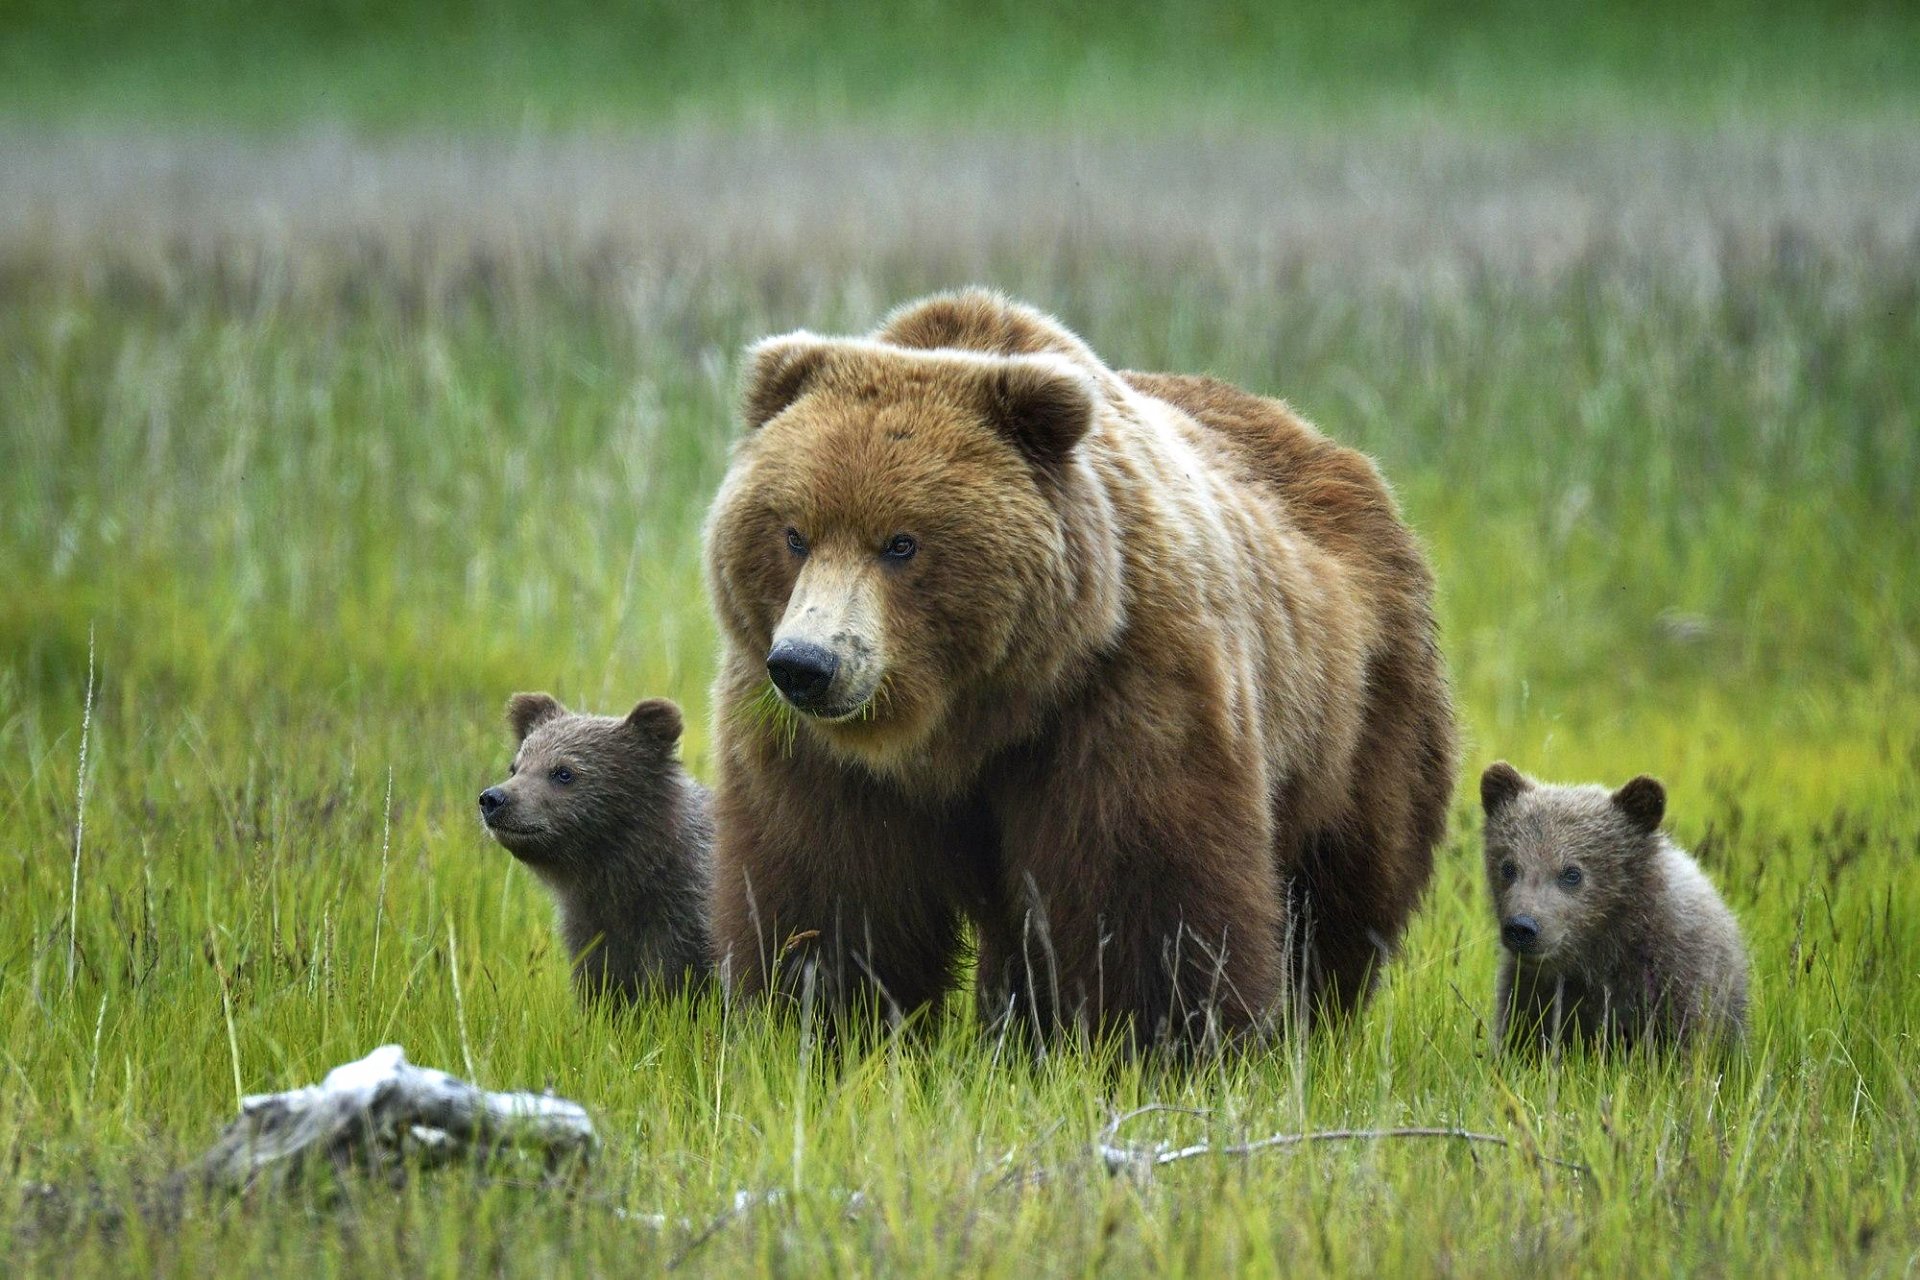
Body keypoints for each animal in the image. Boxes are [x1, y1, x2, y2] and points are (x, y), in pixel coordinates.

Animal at [479, 693, 714, 1004]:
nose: (493, 798)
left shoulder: (683, 921)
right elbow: (600, 986)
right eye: (515, 767)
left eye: (563, 772)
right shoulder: (589, 928)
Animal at [703, 288, 1456, 1049]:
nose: (807, 664)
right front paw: (819, 1027)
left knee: (1339, 892)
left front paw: (1161, 1038)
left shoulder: (1122, 689)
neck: (964, 716)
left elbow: (1145, 890)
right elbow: (829, 893)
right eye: (794, 534)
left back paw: (1309, 1022)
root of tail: (1320, 439)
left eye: (901, 543)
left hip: (1356, 711)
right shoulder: (817, 756)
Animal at [1479, 762, 1749, 1053]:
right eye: (1508, 867)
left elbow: (1684, 1041)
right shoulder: (1532, 991)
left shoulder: (1677, 977)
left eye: (1572, 873)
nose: (1522, 927)